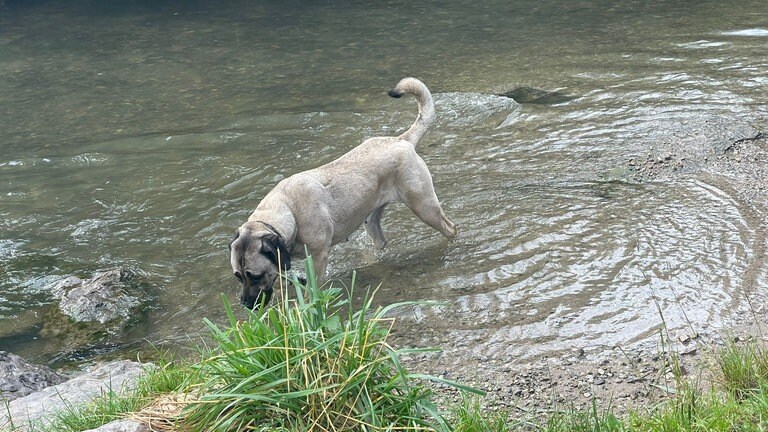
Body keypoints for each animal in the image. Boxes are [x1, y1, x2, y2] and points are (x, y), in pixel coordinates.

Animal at [228, 77, 456, 308]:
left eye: (255, 275)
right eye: (238, 276)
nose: (245, 304)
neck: (288, 212)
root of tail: (402, 140)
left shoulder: (318, 257)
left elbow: (312, 289)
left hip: (424, 206)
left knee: (450, 229)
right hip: (371, 221)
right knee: (380, 242)